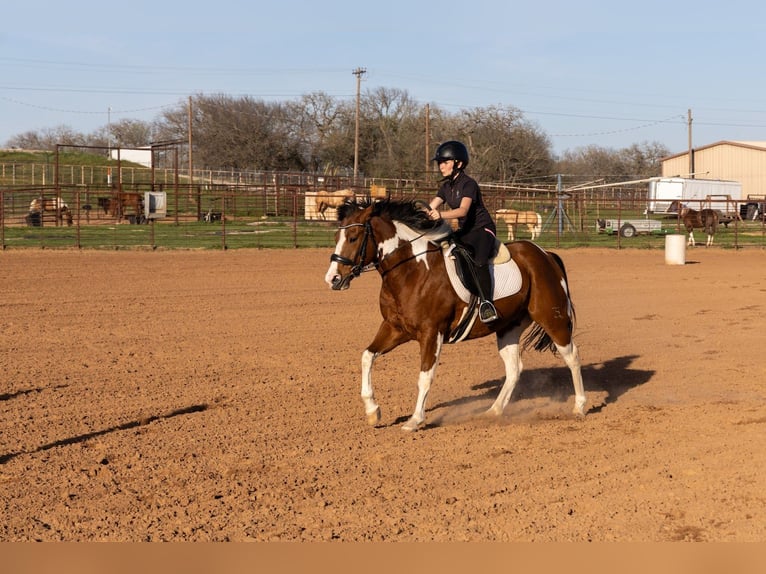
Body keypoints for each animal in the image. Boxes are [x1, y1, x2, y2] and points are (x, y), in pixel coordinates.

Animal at [324, 198, 585, 432]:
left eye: (353, 238)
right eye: (336, 238)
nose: (332, 279)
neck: (411, 270)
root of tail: (546, 255)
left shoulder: (431, 333)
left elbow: (425, 376)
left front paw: (415, 420)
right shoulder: (394, 328)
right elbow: (367, 357)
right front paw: (372, 411)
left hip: (552, 317)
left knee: (571, 356)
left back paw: (580, 407)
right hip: (508, 327)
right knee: (514, 369)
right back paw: (493, 411)